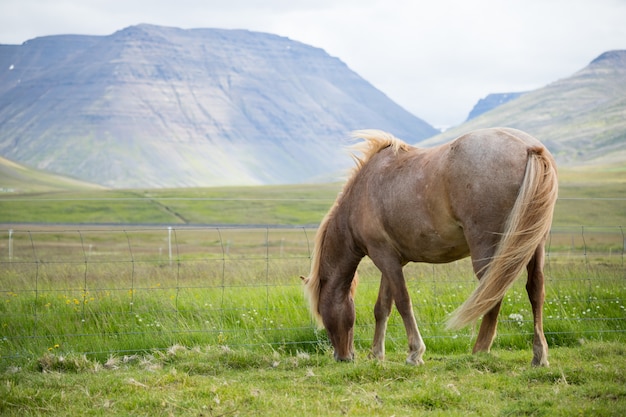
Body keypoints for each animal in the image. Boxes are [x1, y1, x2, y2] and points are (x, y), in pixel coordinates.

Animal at [302, 128, 556, 366]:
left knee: (492, 294)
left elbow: (403, 302)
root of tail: (530, 148)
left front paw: (414, 353)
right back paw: (539, 355)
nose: (343, 357)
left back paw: (480, 350)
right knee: (535, 290)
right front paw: (376, 354)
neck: (360, 195)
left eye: (322, 313)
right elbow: (382, 307)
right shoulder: (391, 260)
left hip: (488, 251)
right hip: (532, 246)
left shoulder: (383, 257)